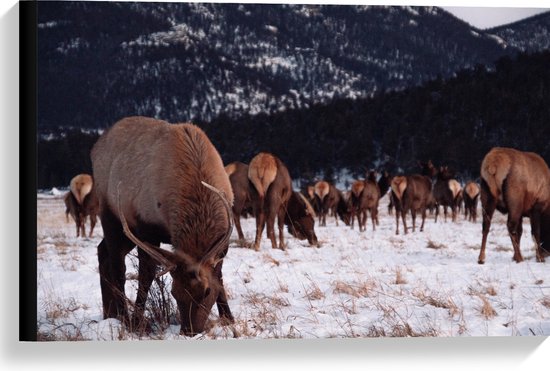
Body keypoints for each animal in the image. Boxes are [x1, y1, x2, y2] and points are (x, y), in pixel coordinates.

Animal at [90, 117, 235, 338]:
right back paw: (122, 316)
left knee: (102, 251)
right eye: (175, 292)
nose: (189, 331)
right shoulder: (146, 228)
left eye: (207, 291)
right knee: (117, 267)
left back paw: (109, 314)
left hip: (124, 232)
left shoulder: (222, 241)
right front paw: (137, 322)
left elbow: (218, 274)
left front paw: (228, 318)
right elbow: (146, 275)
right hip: (110, 214)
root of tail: (94, 149)